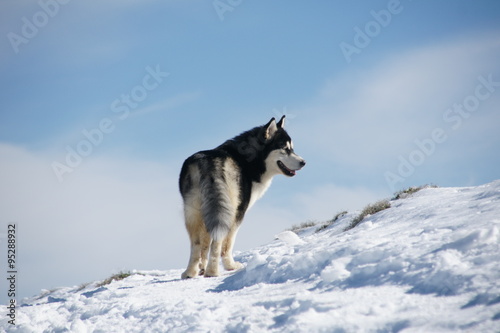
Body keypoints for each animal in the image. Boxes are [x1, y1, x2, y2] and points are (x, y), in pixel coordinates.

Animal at [180, 115, 304, 276]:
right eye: (285, 149)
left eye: (292, 148)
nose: (303, 162)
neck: (248, 160)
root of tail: (208, 163)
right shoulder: (238, 212)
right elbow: (226, 245)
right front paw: (229, 266)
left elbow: (204, 244)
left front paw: (201, 267)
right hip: (229, 212)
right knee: (219, 242)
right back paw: (214, 271)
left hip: (193, 212)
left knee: (195, 243)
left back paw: (190, 272)